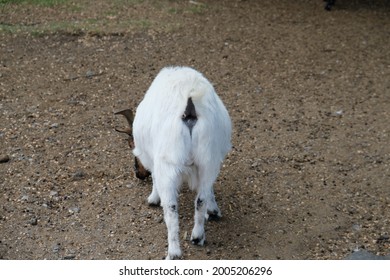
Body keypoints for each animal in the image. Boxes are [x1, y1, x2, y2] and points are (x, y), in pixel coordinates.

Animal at [116, 66, 232, 260]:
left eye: (130, 144)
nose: (138, 173)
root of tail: (189, 105)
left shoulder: (155, 161)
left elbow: (155, 180)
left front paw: (152, 199)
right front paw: (214, 210)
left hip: (168, 163)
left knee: (171, 208)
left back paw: (174, 252)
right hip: (208, 159)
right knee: (201, 198)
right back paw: (197, 236)